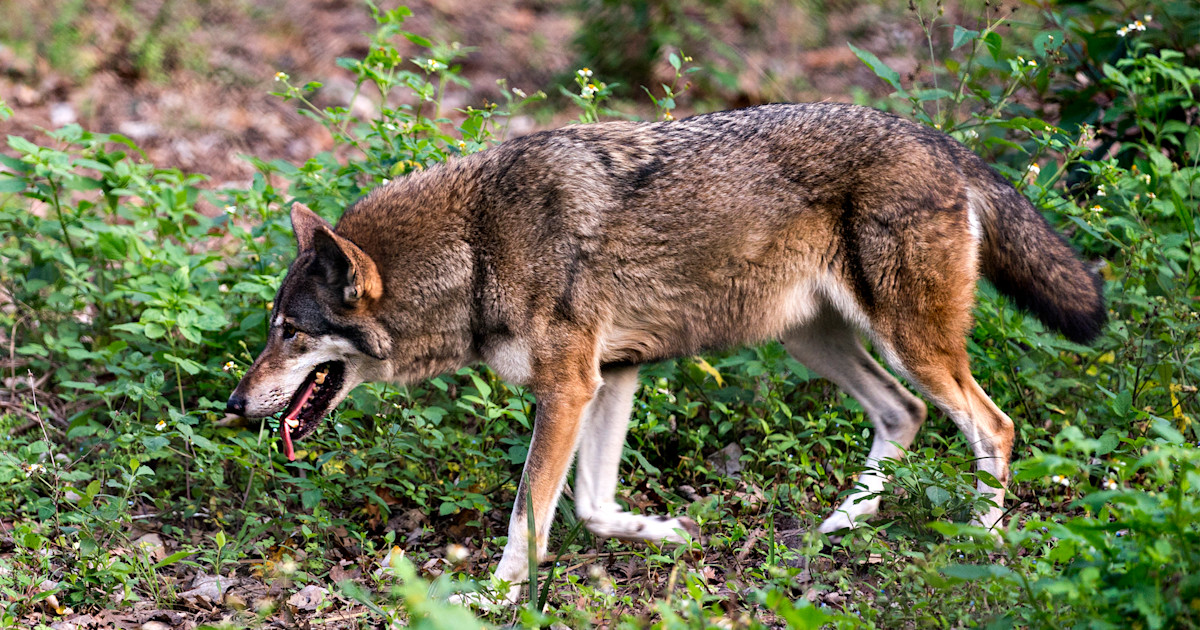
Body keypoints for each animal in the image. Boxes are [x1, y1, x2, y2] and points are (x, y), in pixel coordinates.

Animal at [225, 103, 1105, 603]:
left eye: (290, 332)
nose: (234, 405)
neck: (477, 247)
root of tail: (943, 141)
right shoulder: (611, 376)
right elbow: (589, 506)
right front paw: (667, 534)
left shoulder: (569, 387)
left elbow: (528, 515)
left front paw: (496, 599)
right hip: (811, 339)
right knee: (906, 412)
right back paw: (842, 523)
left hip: (904, 341)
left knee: (992, 426)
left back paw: (981, 544)